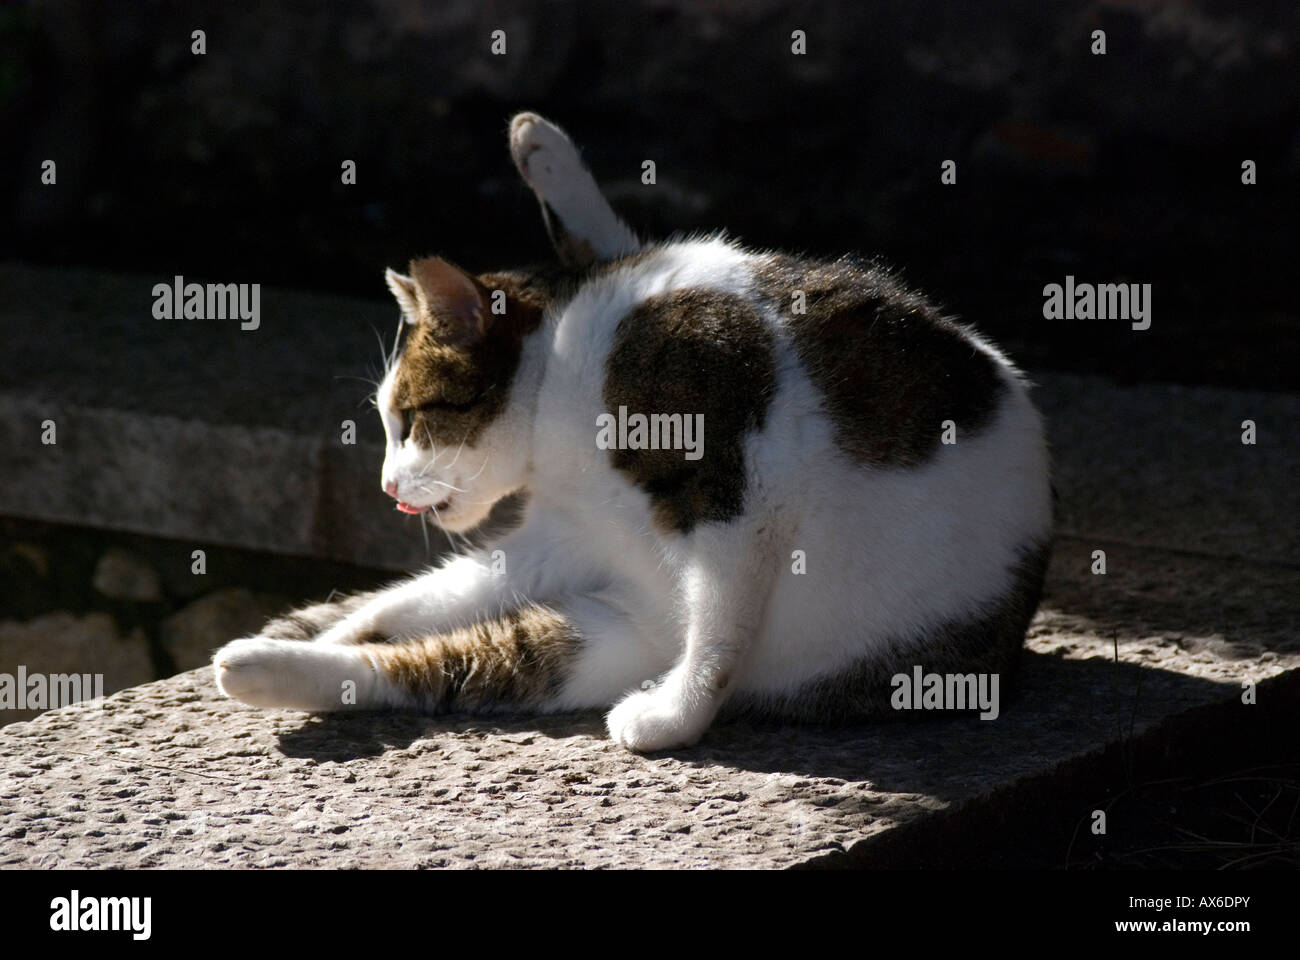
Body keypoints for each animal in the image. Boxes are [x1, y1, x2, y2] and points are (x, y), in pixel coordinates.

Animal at [208, 111, 1050, 749]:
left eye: (409, 420)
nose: (386, 485)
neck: (557, 397)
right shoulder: (556, 538)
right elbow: (412, 604)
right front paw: (338, 628)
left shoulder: (735, 485)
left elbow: (721, 628)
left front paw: (676, 720)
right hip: (600, 634)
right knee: (448, 662)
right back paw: (266, 662)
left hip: (634, 640)